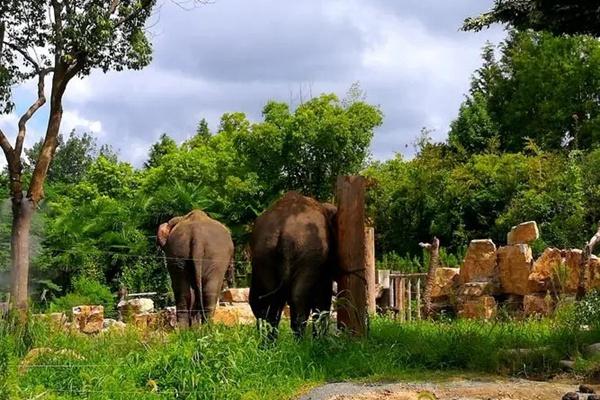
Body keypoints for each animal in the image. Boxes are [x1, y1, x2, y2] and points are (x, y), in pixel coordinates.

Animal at [248, 191, 338, 338]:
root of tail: (285, 233)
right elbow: (323, 297)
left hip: (264, 252)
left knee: (270, 301)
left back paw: (269, 342)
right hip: (309, 255)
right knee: (299, 298)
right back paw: (301, 341)